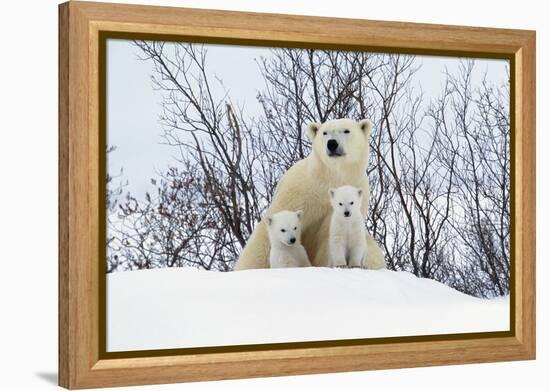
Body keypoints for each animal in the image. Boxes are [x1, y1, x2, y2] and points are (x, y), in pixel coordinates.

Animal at [235, 119, 386, 272]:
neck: (331, 177)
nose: (332, 143)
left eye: (346, 130)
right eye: (325, 132)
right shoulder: (298, 191)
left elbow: (329, 237)